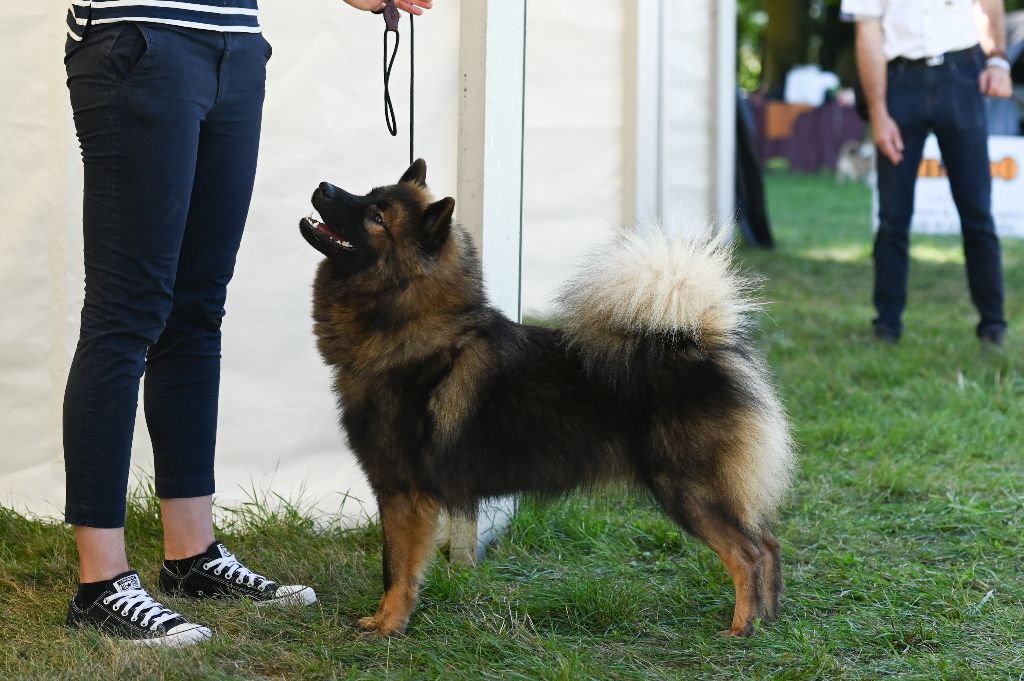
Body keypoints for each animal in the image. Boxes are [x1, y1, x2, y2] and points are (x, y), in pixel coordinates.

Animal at [299, 160, 794, 639]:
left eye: (376, 216)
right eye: (369, 192)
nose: (322, 186)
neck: (409, 324)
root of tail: (700, 343)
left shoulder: (403, 492)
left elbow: (396, 569)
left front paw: (388, 626)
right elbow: (397, 567)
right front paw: (386, 621)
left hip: (687, 489)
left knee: (747, 552)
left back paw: (741, 628)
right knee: (769, 543)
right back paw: (769, 620)